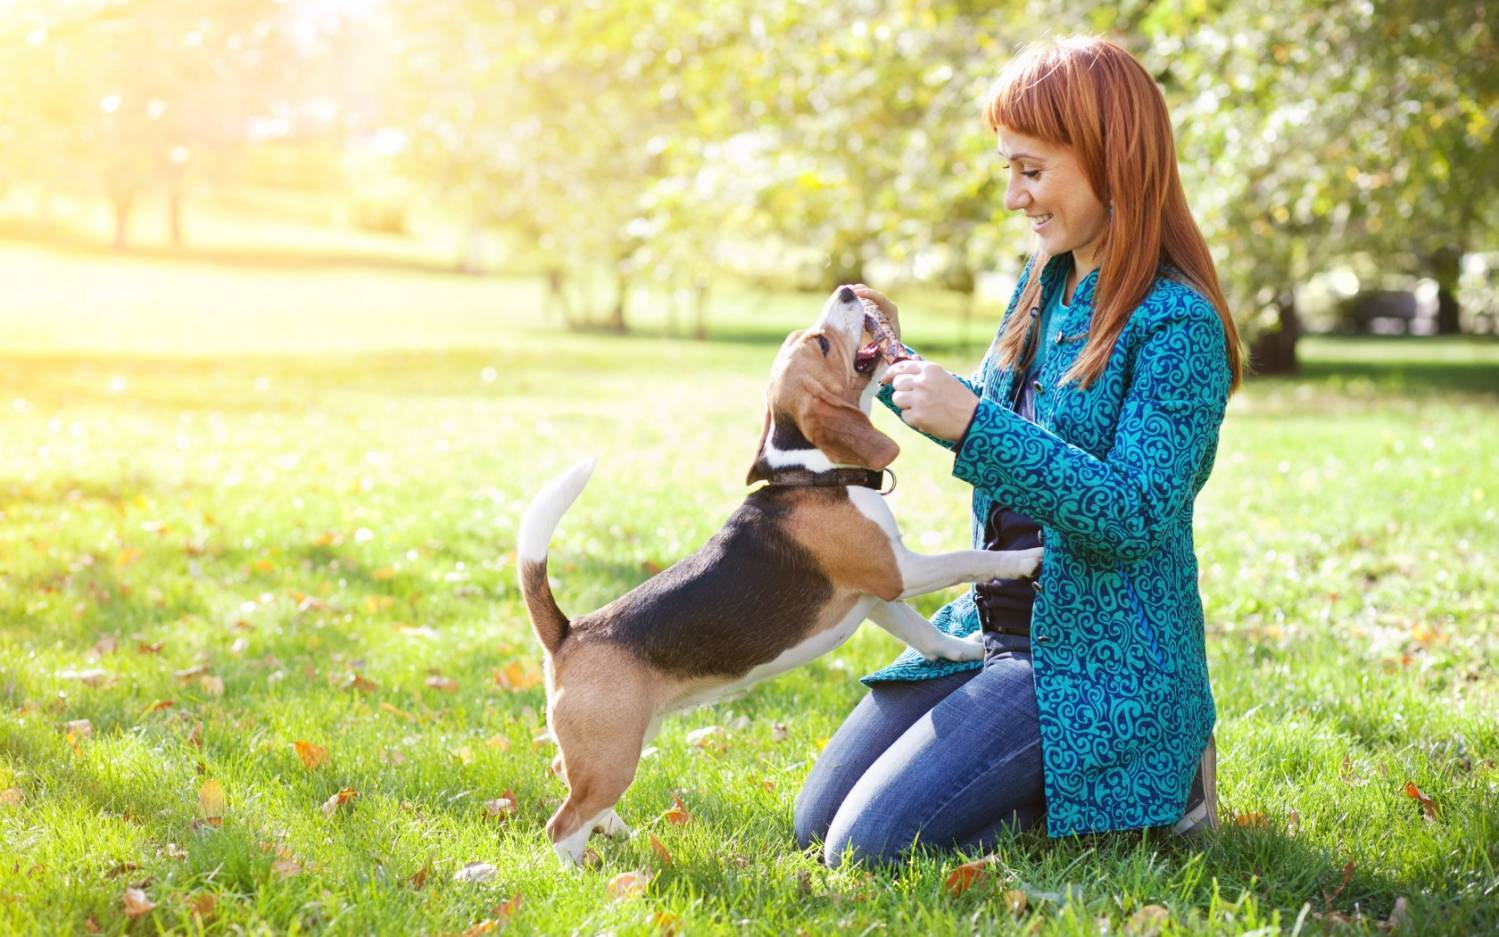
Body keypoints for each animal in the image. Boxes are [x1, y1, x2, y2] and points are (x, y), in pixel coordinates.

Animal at [515, 283, 1043, 863]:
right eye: (822, 344)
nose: (847, 290)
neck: (814, 473)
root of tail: (568, 632)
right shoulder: (898, 572)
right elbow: (966, 559)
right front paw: (1024, 560)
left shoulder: (877, 597)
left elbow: (926, 634)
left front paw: (966, 650)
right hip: (612, 752)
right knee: (563, 824)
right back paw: (583, 869)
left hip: (620, 741)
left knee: (566, 774)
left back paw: (617, 830)